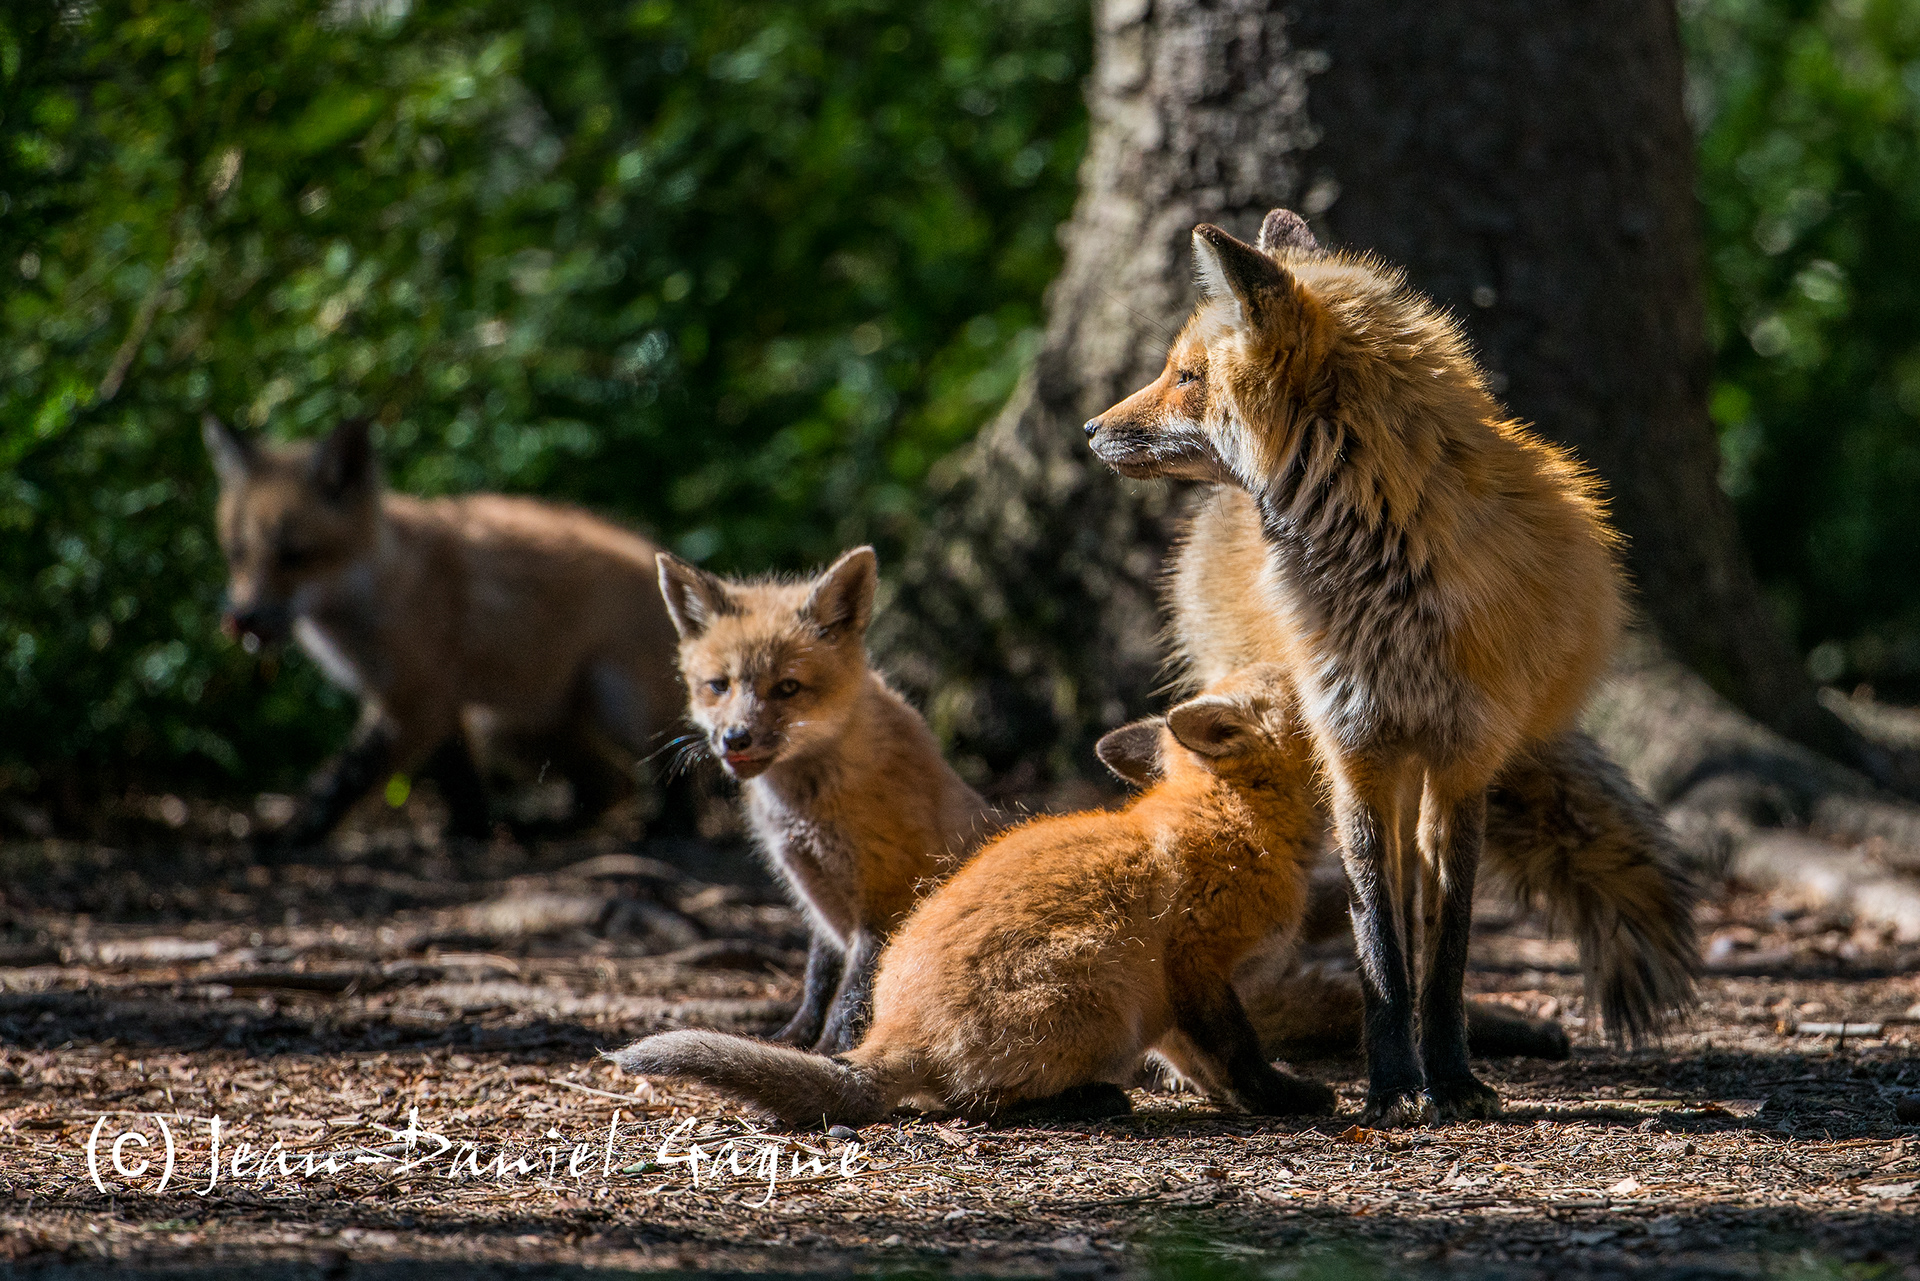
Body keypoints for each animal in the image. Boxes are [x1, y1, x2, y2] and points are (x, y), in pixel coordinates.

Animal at [202, 415, 684, 847]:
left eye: (293, 556)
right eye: (237, 553)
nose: (240, 617)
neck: (381, 584)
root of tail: (657, 555)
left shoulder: (417, 698)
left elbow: (344, 778)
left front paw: (291, 834)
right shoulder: (441, 702)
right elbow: (459, 779)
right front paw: (469, 832)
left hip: (618, 703)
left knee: (669, 764)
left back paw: (667, 828)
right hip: (509, 725)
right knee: (611, 784)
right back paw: (543, 827)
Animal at [610, 665, 1339, 1128]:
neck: (1233, 817)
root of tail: (895, 1033)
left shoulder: (1176, 1000)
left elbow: (1202, 1063)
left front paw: (1245, 1100)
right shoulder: (1196, 962)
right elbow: (1238, 1054)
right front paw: (1286, 1099)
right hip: (1103, 990)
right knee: (971, 1102)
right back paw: (1088, 1101)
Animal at [655, 546, 999, 1053]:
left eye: (788, 687)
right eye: (719, 685)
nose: (735, 738)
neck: (805, 813)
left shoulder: (888, 902)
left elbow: (852, 997)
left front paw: (827, 1056)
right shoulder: (816, 898)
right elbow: (818, 983)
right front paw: (789, 1043)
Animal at [1084, 209, 1636, 1124]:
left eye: (1187, 376)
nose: (1089, 430)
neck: (1389, 576)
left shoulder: (1463, 758)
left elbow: (1444, 947)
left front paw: (1451, 1075)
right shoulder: (1352, 751)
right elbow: (1379, 942)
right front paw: (1391, 1085)